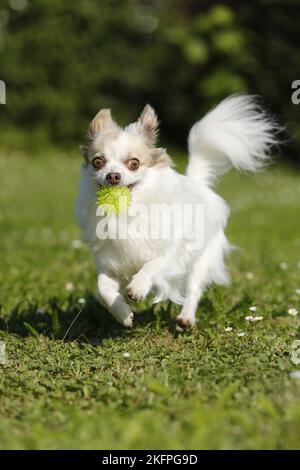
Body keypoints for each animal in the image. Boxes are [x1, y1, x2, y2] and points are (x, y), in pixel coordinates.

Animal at [76, 94, 278, 328]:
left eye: (134, 164)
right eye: (98, 162)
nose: (113, 176)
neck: (128, 211)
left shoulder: (171, 253)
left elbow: (153, 264)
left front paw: (138, 286)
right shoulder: (110, 261)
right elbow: (103, 291)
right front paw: (123, 315)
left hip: (202, 259)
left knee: (193, 289)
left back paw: (186, 318)